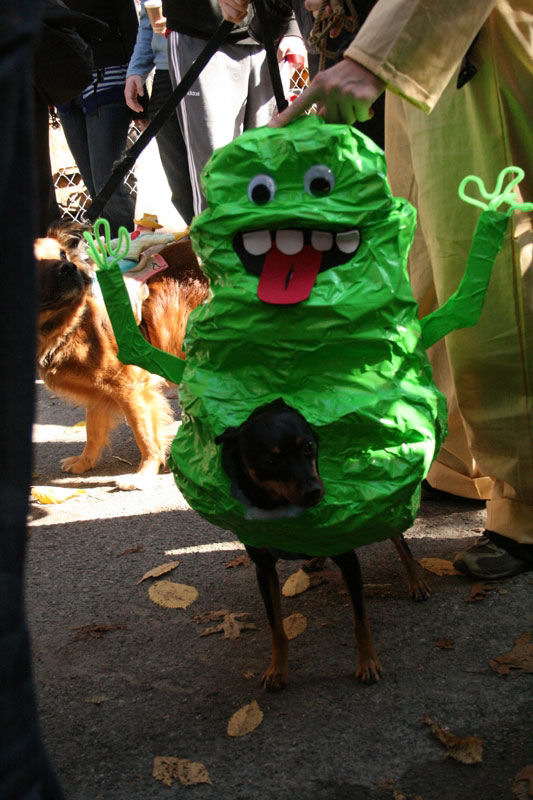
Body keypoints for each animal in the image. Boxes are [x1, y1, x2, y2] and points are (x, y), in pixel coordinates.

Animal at [35, 222, 208, 490]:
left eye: (62, 254)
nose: (70, 268)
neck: (73, 322)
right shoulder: (97, 391)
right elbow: (93, 432)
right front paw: (84, 462)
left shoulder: (131, 387)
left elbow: (144, 434)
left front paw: (144, 474)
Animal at [215, 400, 428, 688]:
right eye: (270, 460)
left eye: (308, 445)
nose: (313, 492)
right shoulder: (264, 568)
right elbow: (276, 628)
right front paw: (277, 669)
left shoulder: (349, 560)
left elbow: (361, 621)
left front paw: (368, 663)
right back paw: (316, 559)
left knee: (400, 541)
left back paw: (416, 581)